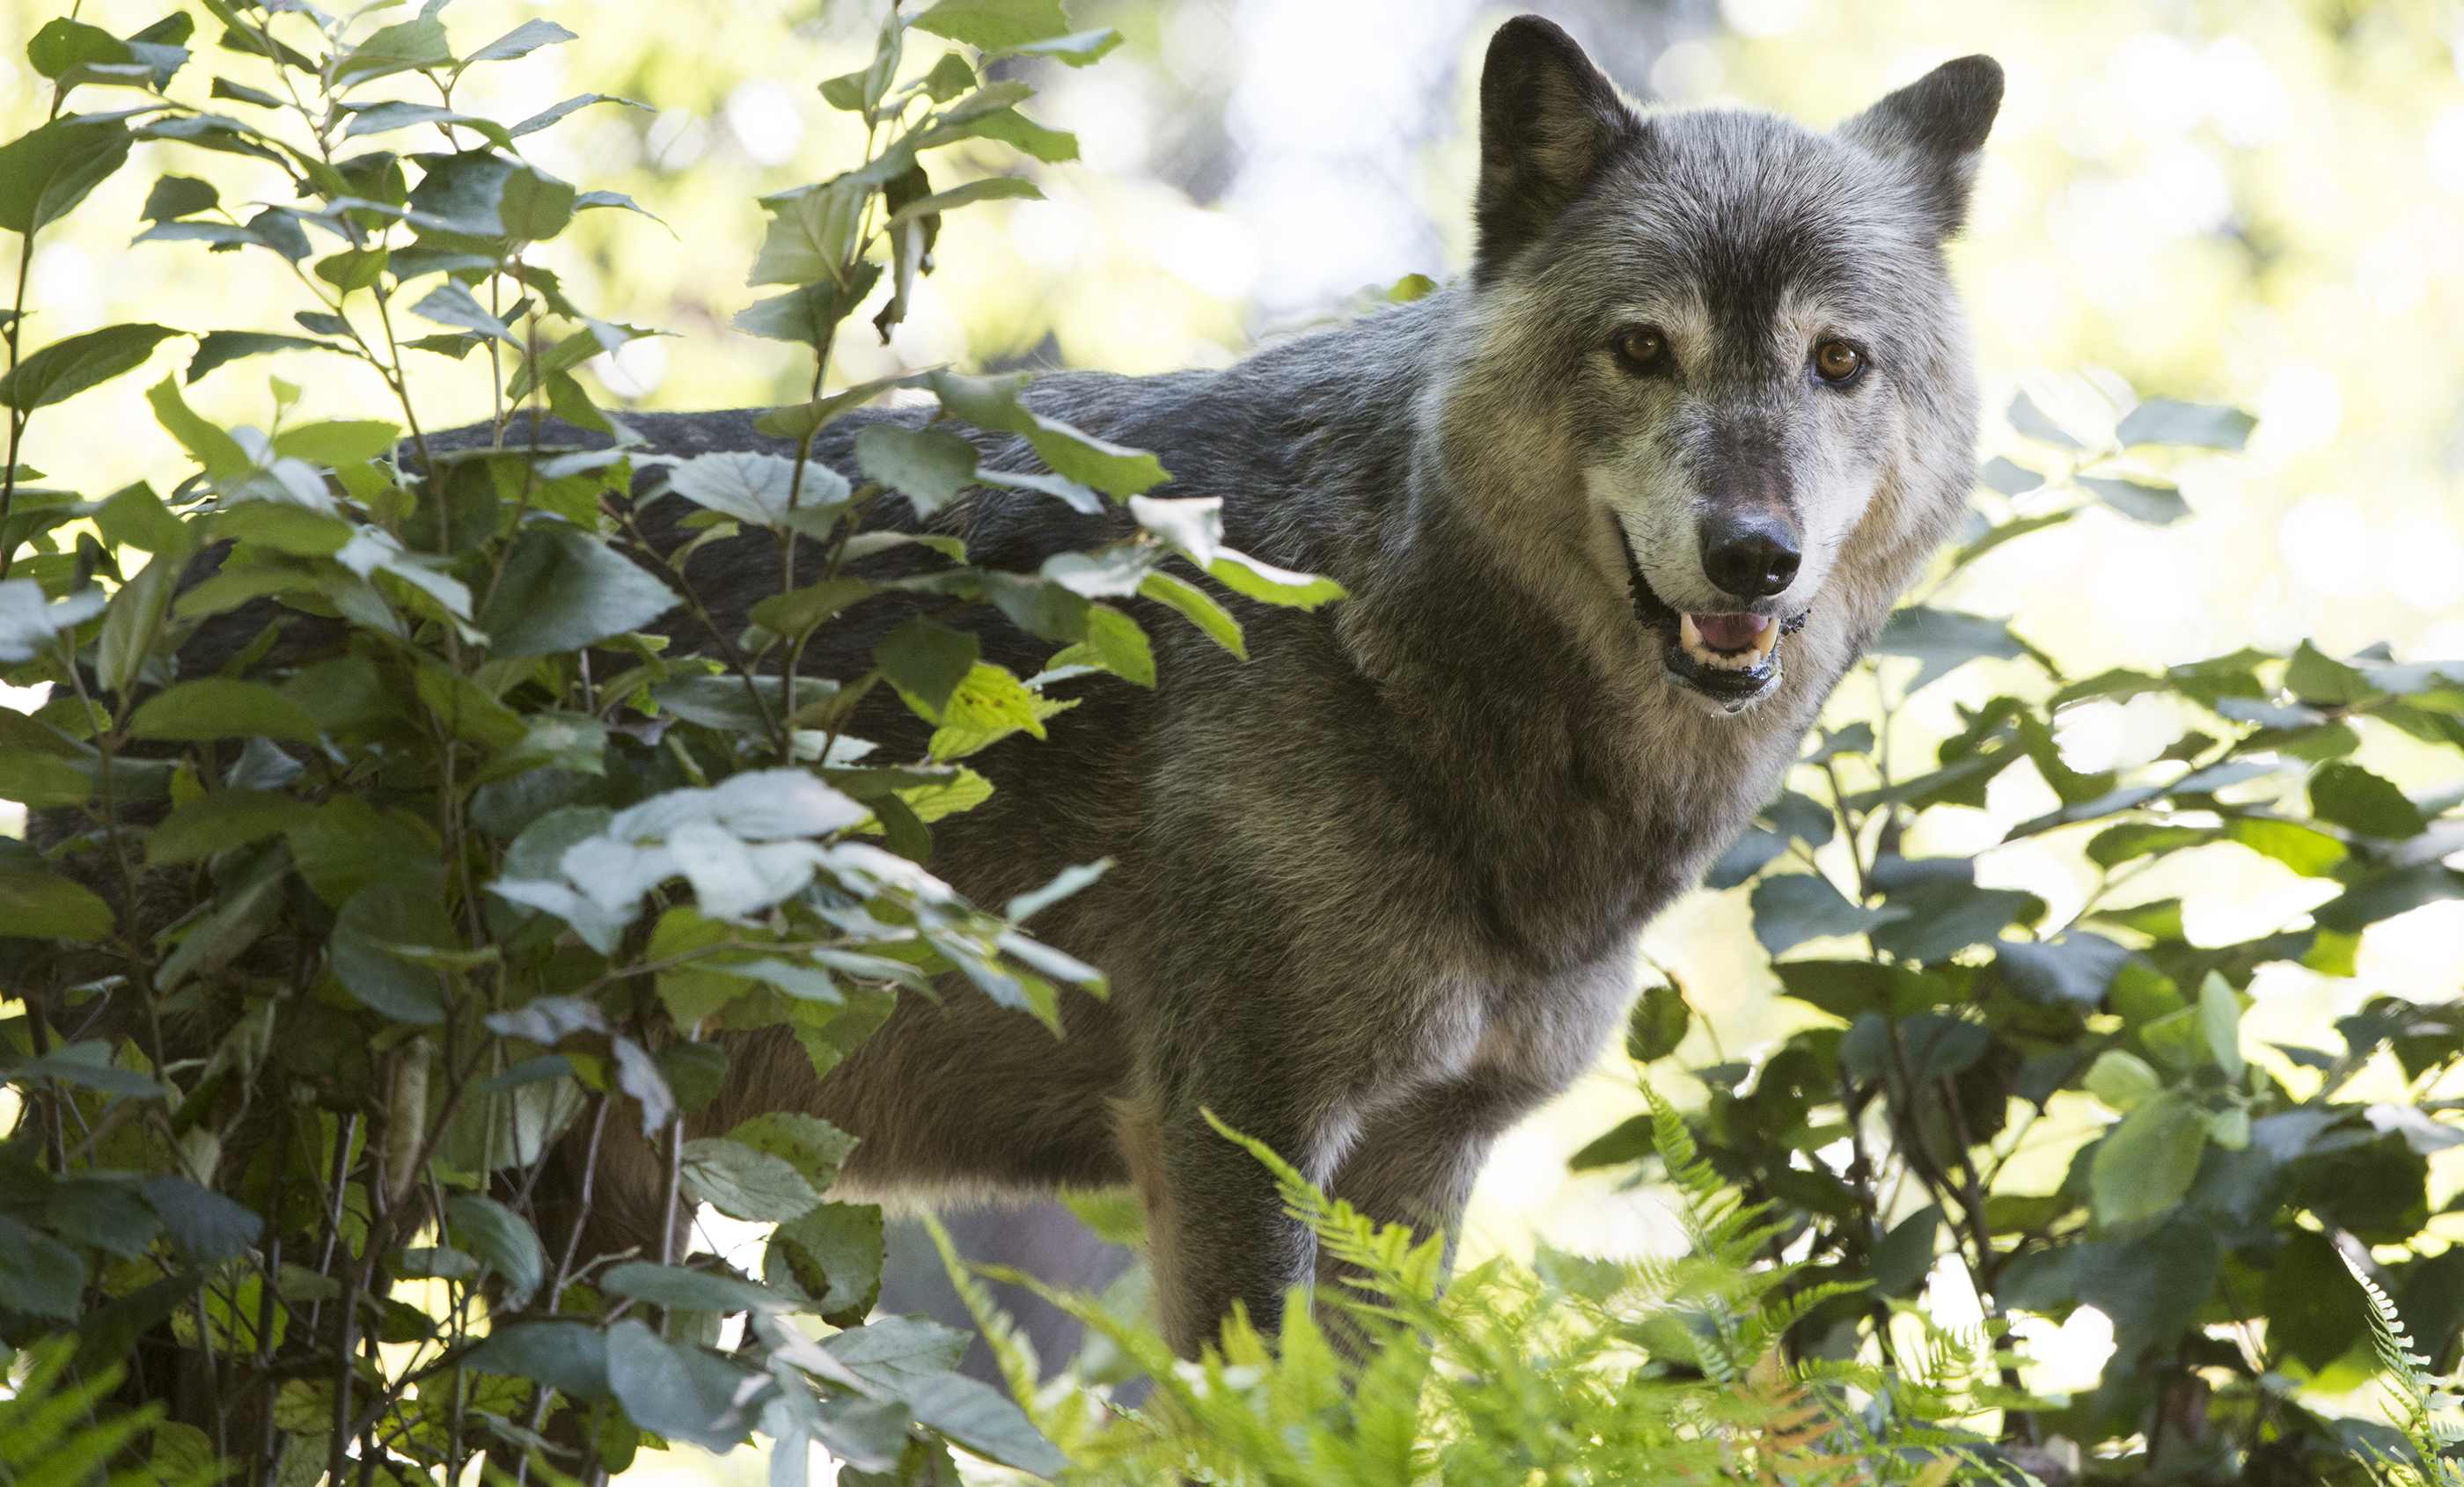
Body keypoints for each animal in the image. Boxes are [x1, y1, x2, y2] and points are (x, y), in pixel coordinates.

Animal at [519, 17, 2000, 1359]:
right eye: (1643, 350)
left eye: (1838, 361)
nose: (1754, 554)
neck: (1382, 640)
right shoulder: (1239, 1134)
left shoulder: (1416, 1168)